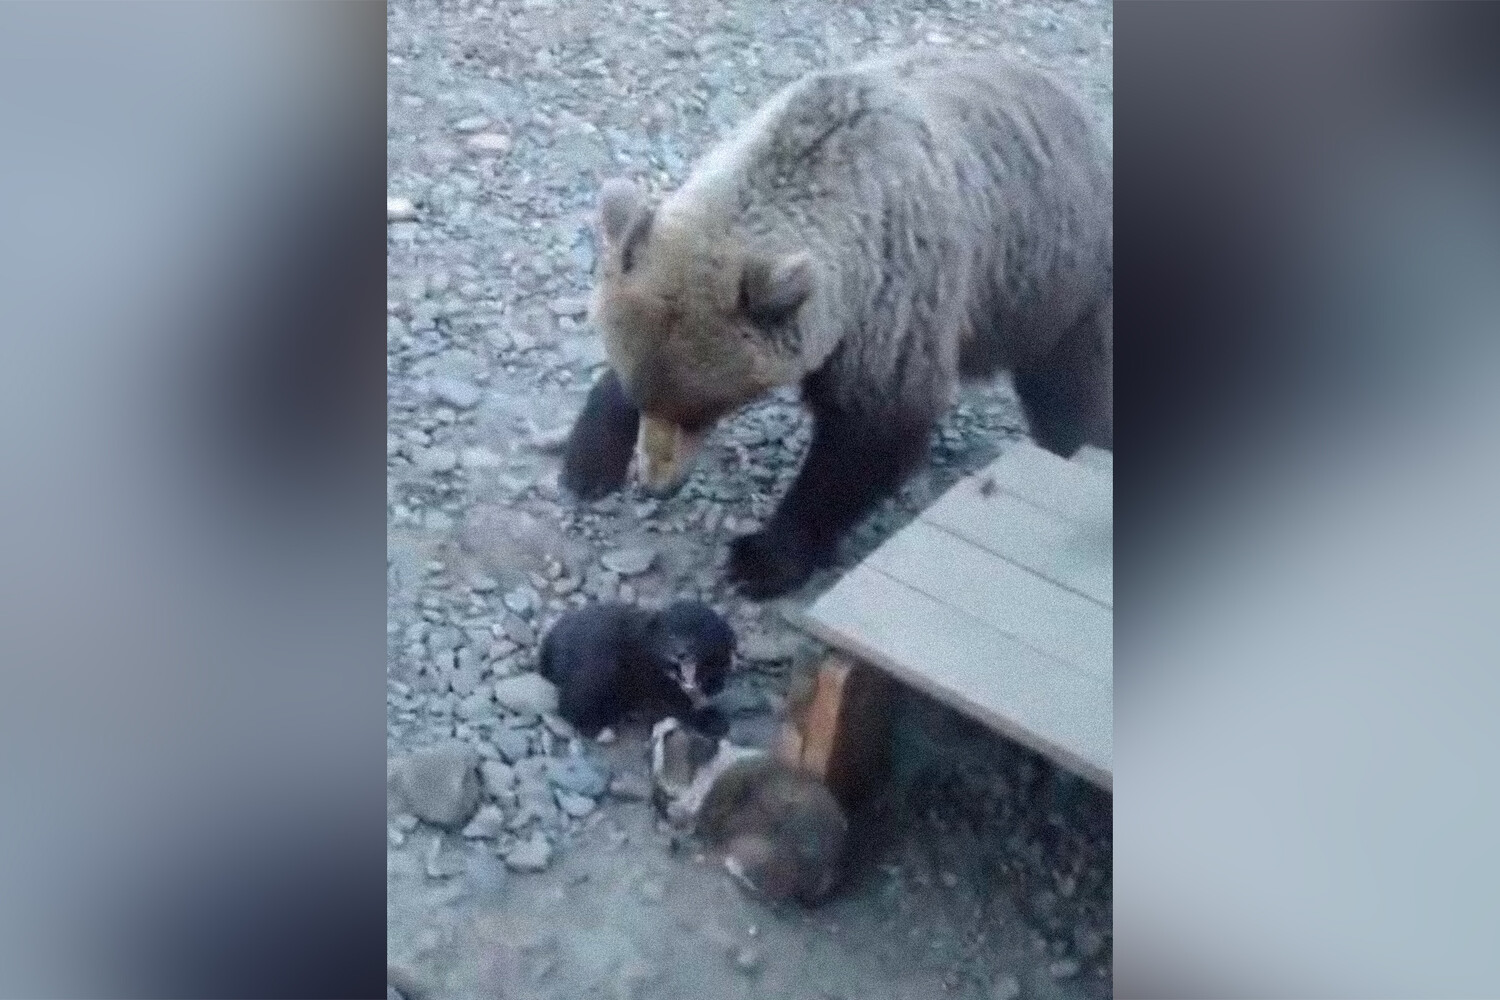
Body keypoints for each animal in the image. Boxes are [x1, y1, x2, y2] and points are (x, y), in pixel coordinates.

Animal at [537, 599, 735, 740]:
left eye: (696, 637)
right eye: (671, 635)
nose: (680, 653)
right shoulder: (653, 685)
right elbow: (678, 707)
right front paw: (711, 720)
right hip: (601, 671)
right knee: (569, 706)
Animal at [564, 46, 1116, 599]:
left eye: (702, 410)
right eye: (645, 398)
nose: (657, 483)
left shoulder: (897, 291)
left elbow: (869, 433)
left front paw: (759, 558)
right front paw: (588, 460)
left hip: (1053, 276)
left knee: (1069, 388)